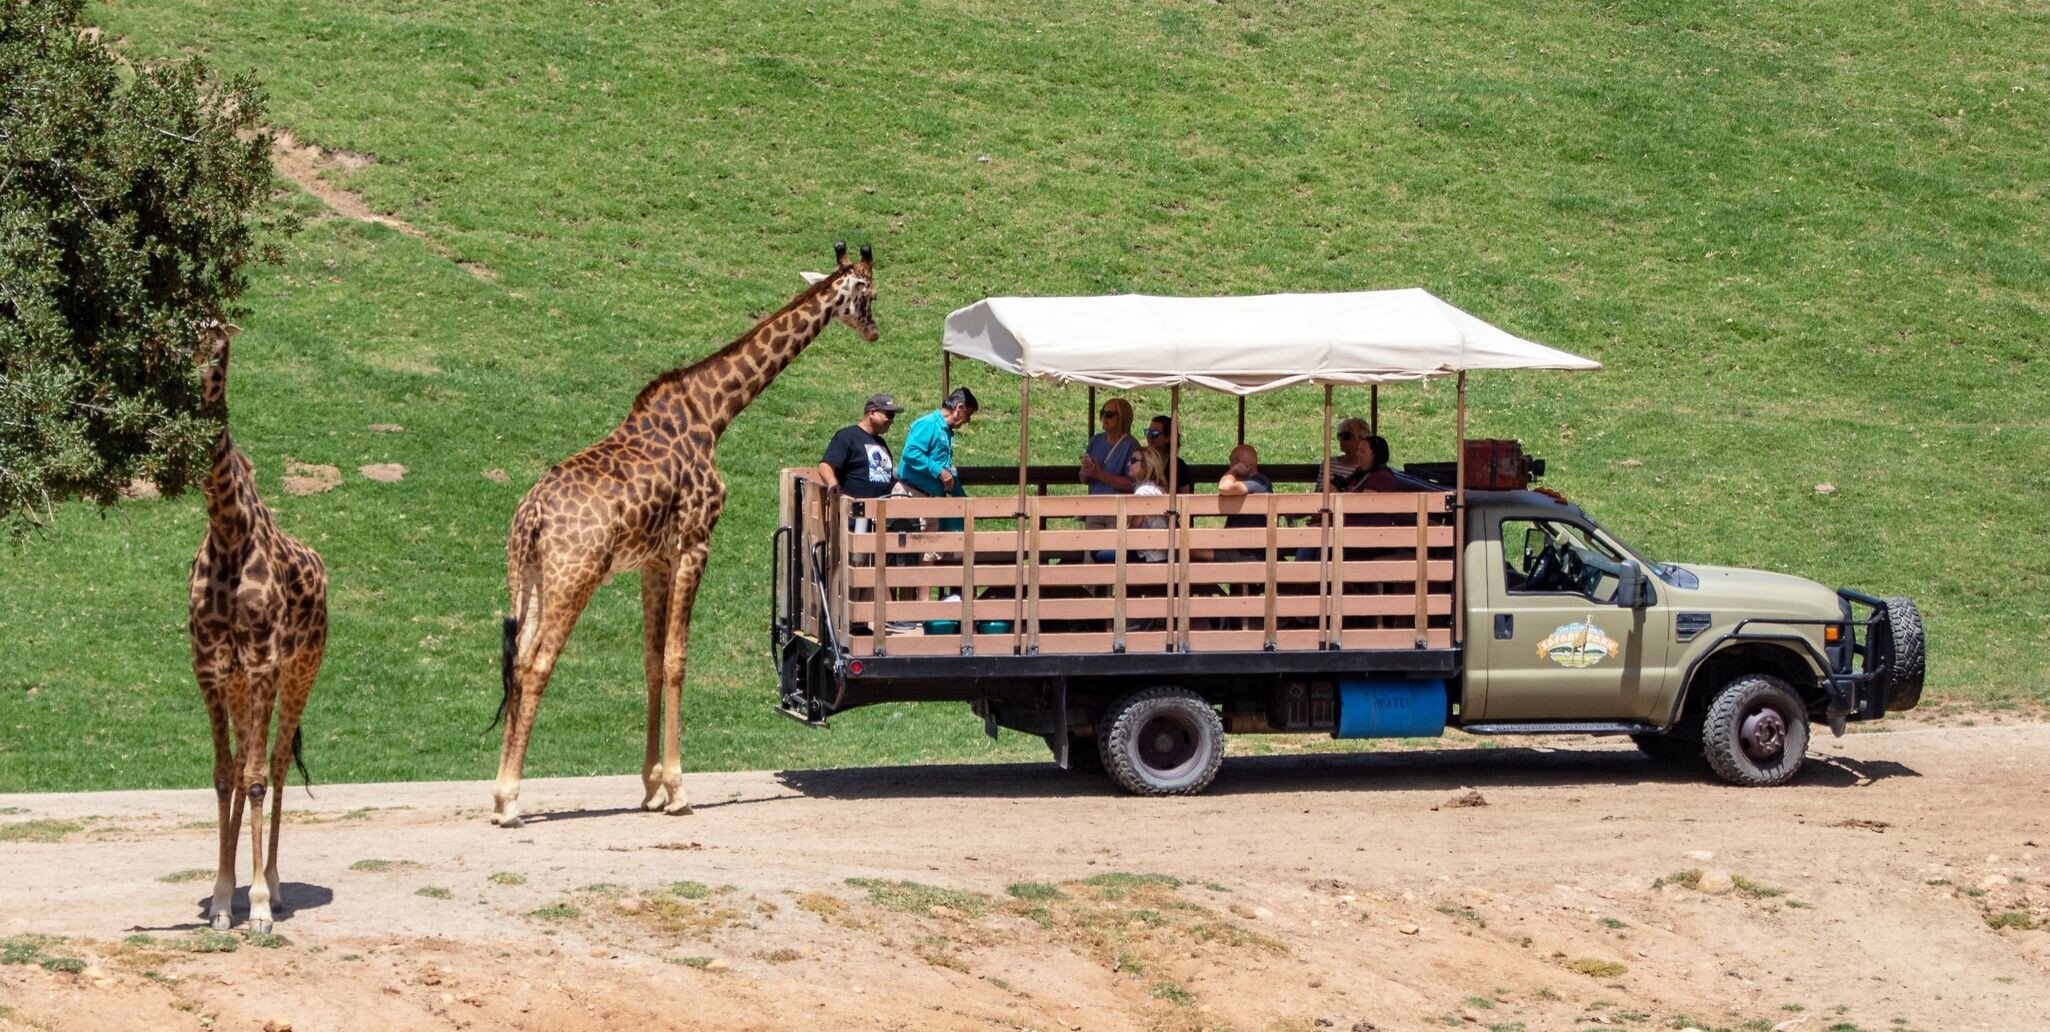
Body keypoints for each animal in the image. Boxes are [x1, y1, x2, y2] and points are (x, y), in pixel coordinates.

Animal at [490, 242, 877, 828]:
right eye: (870, 294)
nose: (876, 330)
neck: (714, 413)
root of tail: (529, 515)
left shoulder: (655, 560)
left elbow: (652, 660)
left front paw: (650, 787)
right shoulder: (696, 542)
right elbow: (677, 659)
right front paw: (677, 790)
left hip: (529, 577)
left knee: (516, 660)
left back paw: (496, 795)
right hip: (573, 576)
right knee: (536, 664)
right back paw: (511, 801)